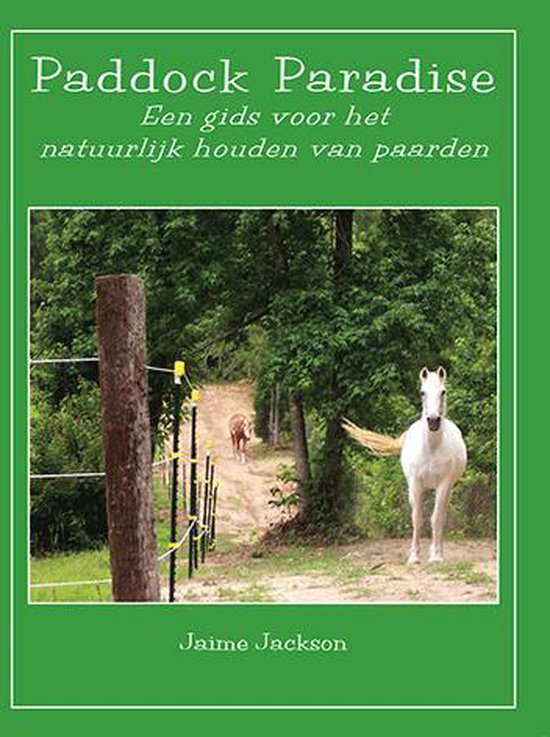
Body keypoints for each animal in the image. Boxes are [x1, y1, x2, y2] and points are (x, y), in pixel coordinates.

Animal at [343, 366, 467, 563]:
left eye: (443, 391)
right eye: (422, 392)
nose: (433, 421)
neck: (431, 448)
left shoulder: (444, 484)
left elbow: (436, 518)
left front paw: (435, 557)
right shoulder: (415, 484)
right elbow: (417, 518)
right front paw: (414, 557)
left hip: (446, 489)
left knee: (442, 516)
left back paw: (439, 551)